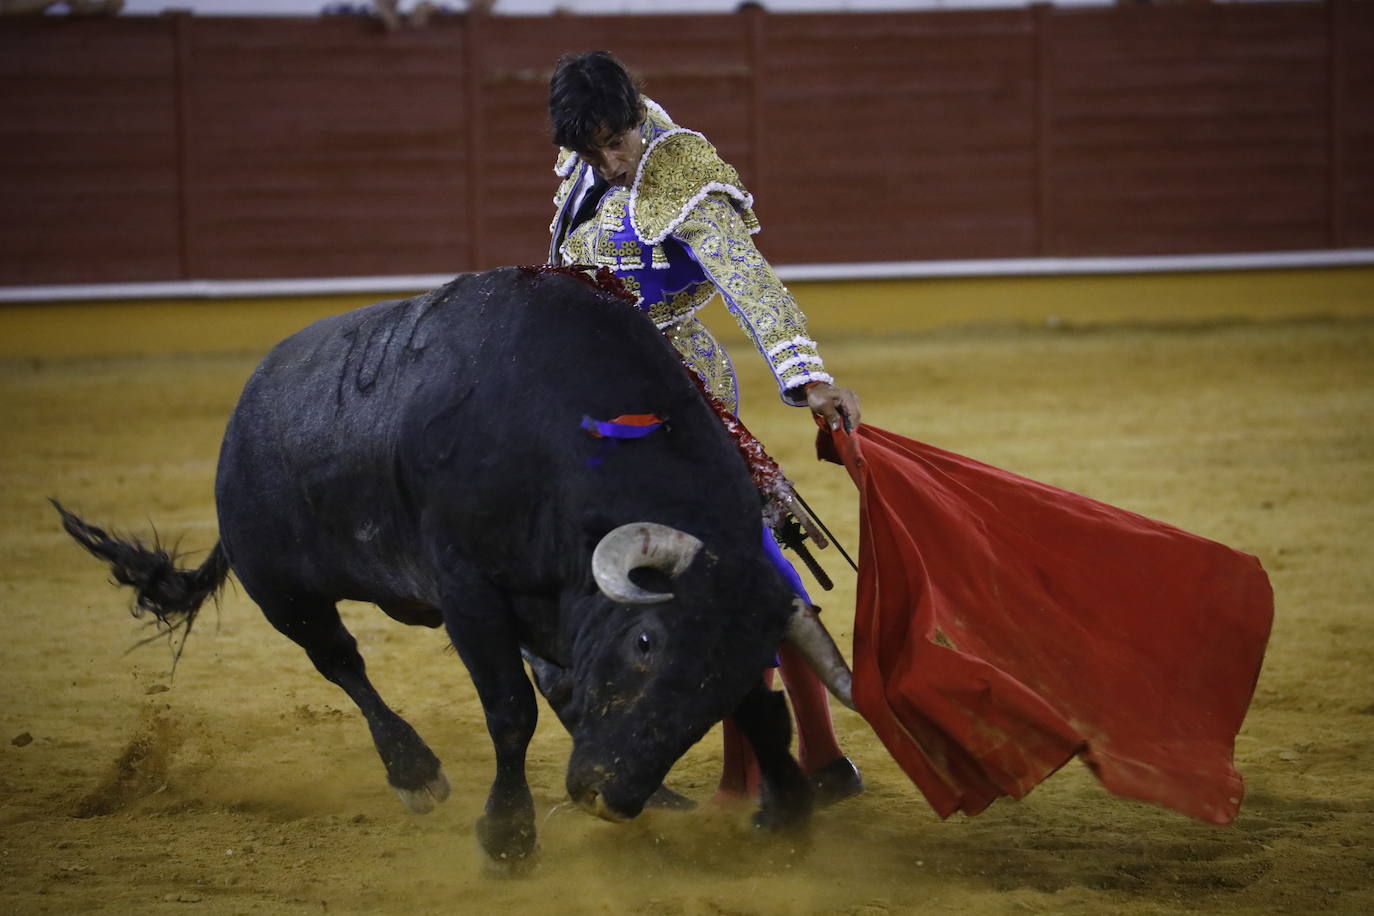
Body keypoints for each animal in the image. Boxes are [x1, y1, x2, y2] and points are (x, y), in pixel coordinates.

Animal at [59, 265, 857, 873]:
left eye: (727, 670)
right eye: (645, 642)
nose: (607, 795)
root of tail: (245, 411)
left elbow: (757, 707)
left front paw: (789, 806)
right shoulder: (468, 590)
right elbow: (509, 711)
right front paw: (507, 839)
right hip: (284, 592)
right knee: (341, 662)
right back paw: (414, 773)